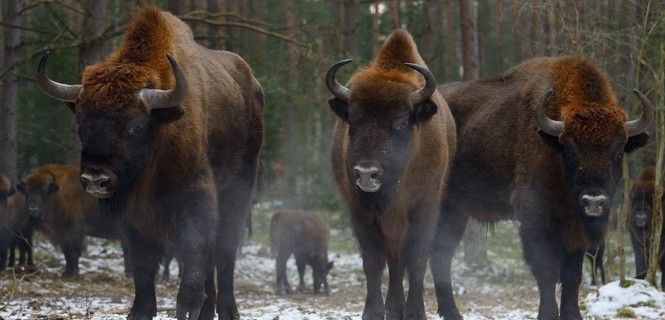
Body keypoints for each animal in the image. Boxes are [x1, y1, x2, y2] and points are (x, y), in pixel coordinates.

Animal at [37, 5, 262, 320]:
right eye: (81, 124)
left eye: (136, 127)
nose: (95, 179)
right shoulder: (135, 218)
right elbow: (143, 267)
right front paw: (140, 312)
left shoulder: (195, 198)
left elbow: (194, 251)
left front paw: (187, 308)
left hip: (239, 190)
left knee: (224, 252)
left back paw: (228, 311)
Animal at [326, 29, 456, 318]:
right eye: (353, 120)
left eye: (400, 123)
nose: (366, 173)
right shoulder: (362, 211)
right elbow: (374, 261)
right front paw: (373, 312)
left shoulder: (424, 208)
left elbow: (417, 258)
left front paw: (415, 312)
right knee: (393, 262)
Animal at [430, 55, 652, 320]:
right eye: (570, 151)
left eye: (618, 152)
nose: (594, 201)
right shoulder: (535, 219)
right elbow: (547, 271)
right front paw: (547, 313)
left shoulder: (575, 231)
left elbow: (572, 276)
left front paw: (572, 315)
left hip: (454, 211)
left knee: (441, 256)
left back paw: (452, 313)